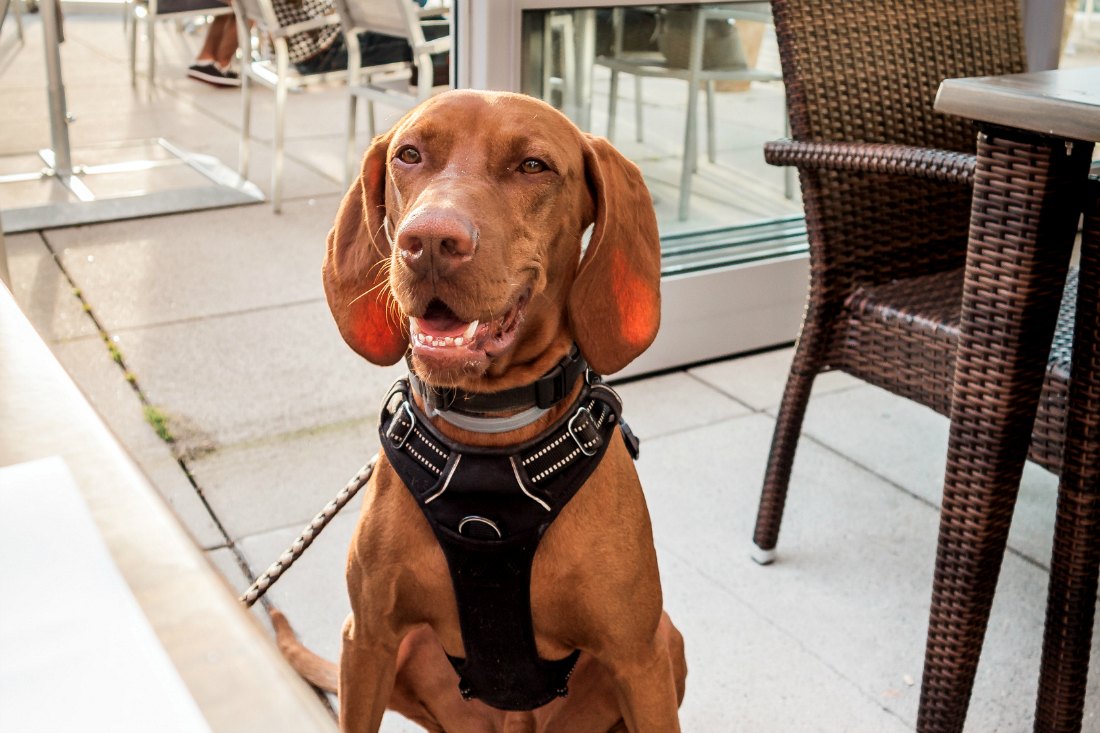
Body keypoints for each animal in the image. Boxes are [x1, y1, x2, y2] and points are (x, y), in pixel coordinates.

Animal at [294, 89, 686, 730]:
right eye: (409, 154)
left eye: (533, 166)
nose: (429, 241)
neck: (489, 436)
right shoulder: (367, 638)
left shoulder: (639, 659)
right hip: (410, 650)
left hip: (668, 646)